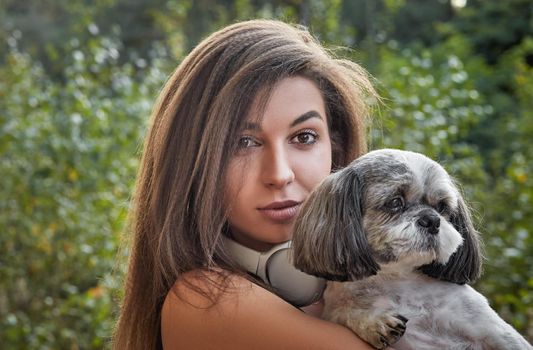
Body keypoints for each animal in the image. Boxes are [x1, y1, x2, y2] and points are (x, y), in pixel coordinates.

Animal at [294, 150, 528, 350]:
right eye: (395, 202)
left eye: (442, 207)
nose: (432, 220)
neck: (398, 279)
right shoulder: (334, 309)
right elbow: (344, 312)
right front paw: (375, 322)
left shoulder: (491, 329)